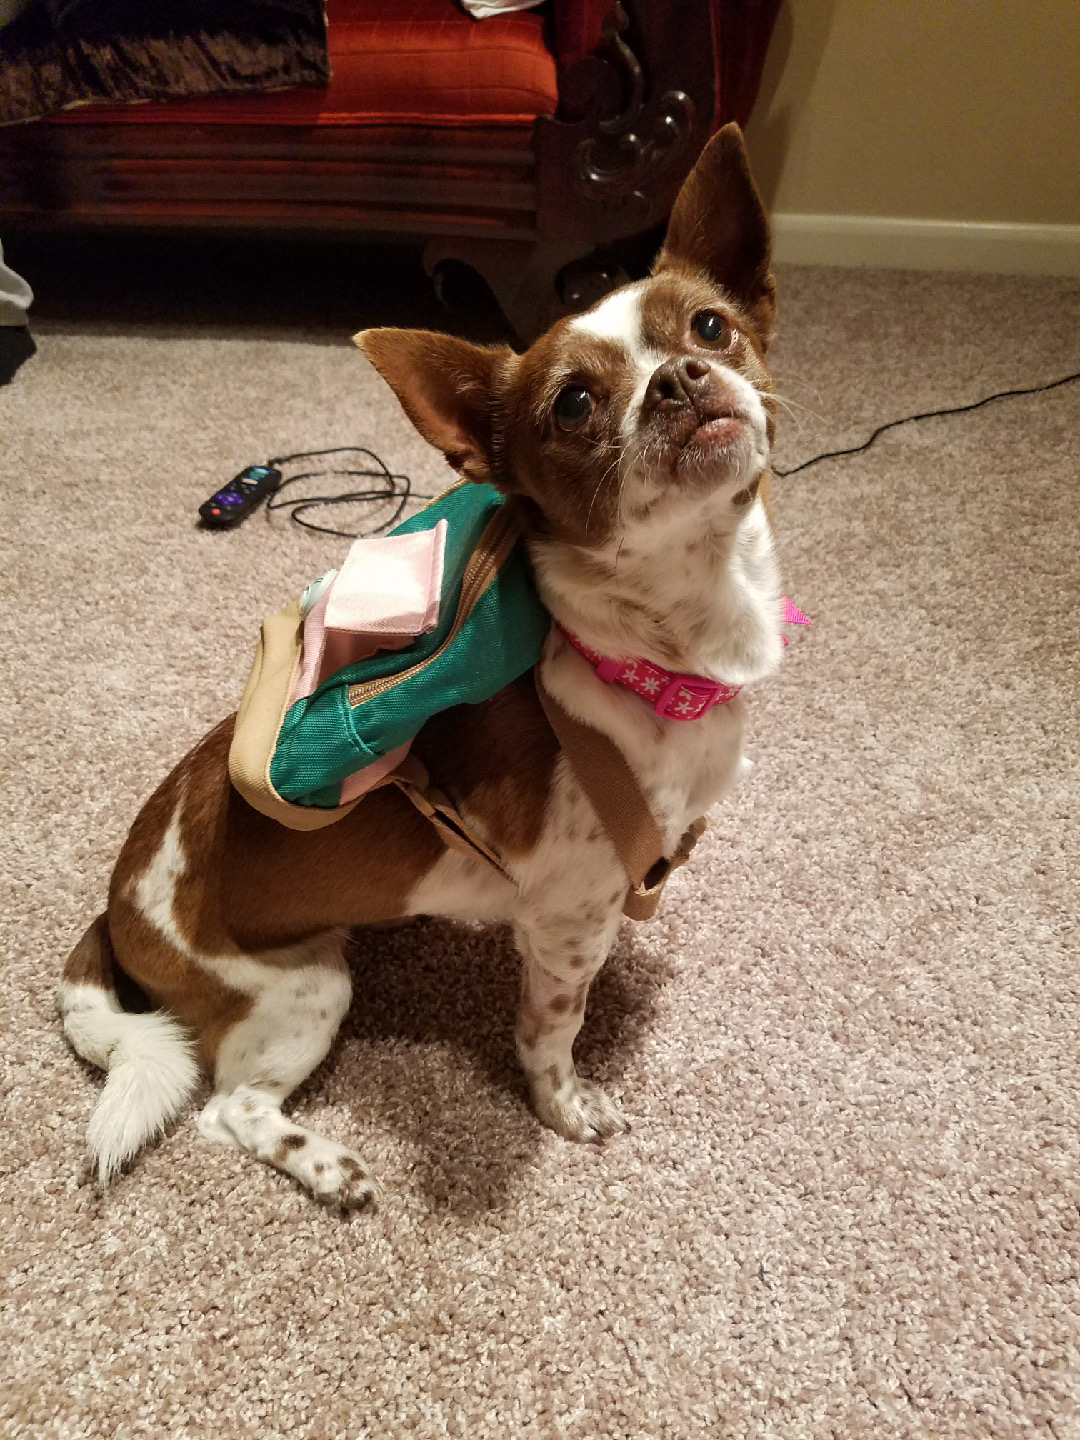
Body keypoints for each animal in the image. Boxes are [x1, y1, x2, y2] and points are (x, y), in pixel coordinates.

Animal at [61, 123, 783, 1209]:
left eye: (710, 326)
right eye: (574, 404)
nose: (682, 379)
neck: (657, 651)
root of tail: (116, 908)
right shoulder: (566, 923)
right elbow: (553, 1033)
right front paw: (564, 1107)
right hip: (306, 987)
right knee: (228, 1113)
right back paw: (324, 1164)